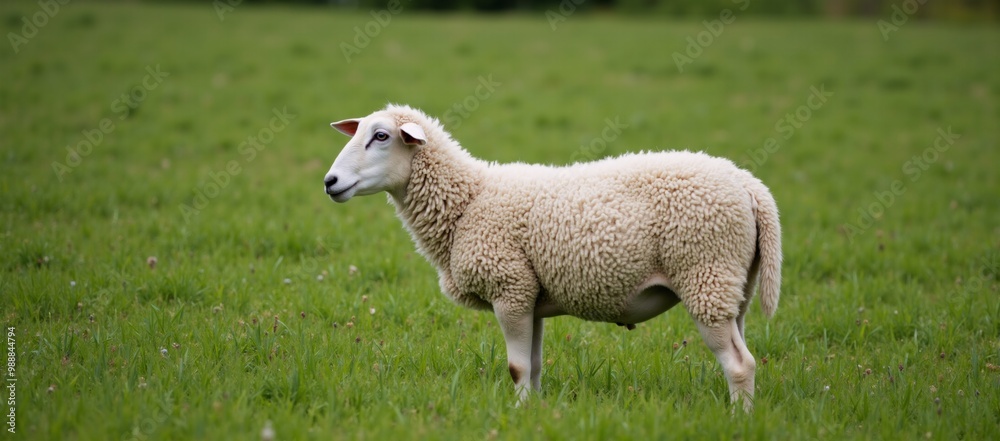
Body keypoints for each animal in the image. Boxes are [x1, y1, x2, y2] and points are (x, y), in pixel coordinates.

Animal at [323, 104, 782, 411]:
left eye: (381, 137)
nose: (330, 182)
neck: (469, 200)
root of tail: (749, 185)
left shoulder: (509, 287)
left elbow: (516, 367)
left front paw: (517, 413)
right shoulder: (531, 295)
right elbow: (534, 365)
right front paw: (534, 412)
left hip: (705, 272)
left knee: (740, 364)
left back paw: (739, 421)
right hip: (733, 284)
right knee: (742, 356)